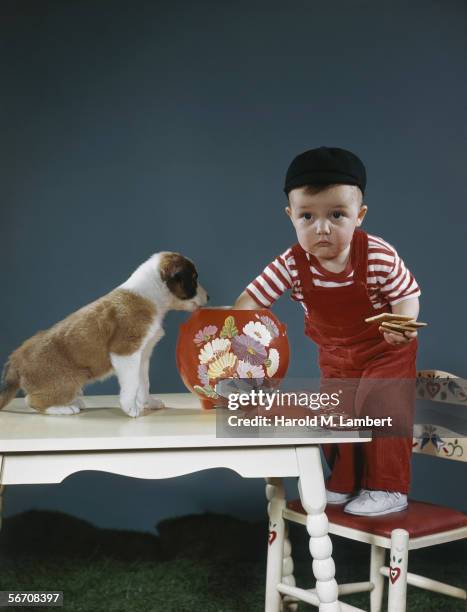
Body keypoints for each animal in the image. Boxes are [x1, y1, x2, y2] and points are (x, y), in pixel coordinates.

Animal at [0, 252, 208, 416]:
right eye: (194, 279)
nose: (209, 297)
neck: (151, 295)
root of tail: (14, 359)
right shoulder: (126, 353)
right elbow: (132, 383)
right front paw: (130, 408)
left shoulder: (142, 356)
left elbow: (144, 383)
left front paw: (148, 403)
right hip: (68, 380)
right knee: (32, 400)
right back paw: (64, 408)